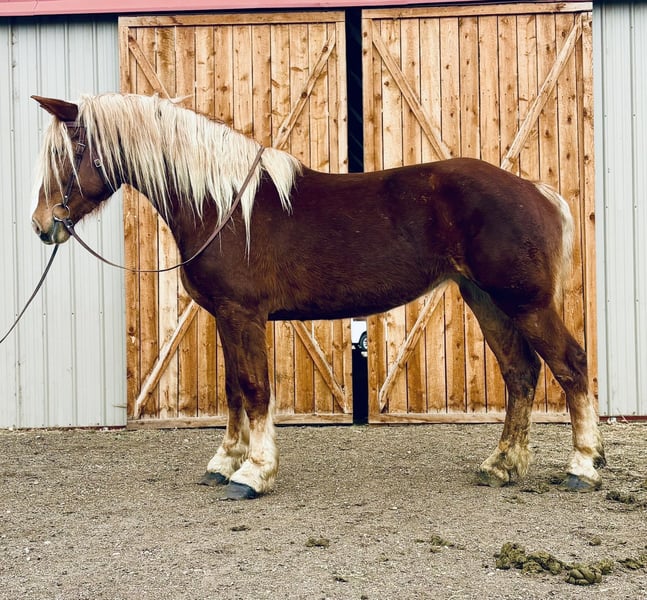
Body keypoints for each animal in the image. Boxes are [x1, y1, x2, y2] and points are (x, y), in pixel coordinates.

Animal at [30, 93, 606, 500]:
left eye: (71, 153)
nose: (42, 225)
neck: (222, 206)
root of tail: (535, 191)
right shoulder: (224, 318)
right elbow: (233, 389)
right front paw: (225, 462)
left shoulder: (243, 315)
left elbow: (255, 389)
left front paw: (254, 473)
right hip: (486, 300)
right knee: (520, 373)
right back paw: (501, 465)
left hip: (525, 302)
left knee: (570, 365)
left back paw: (582, 466)